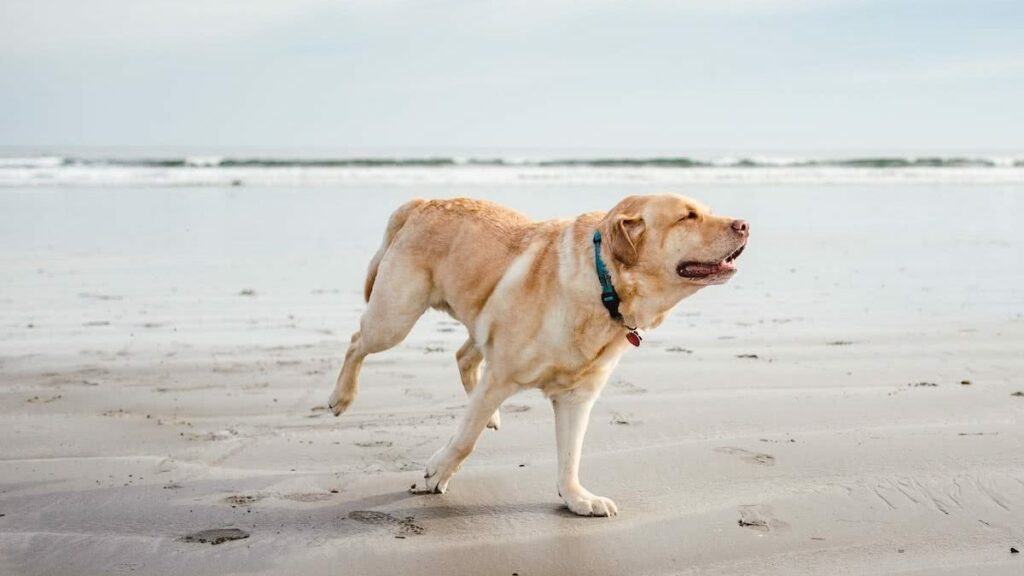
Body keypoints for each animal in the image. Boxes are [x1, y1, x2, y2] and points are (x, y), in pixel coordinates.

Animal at [331, 193, 749, 516]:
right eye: (687, 216)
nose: (744, 224)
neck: (604, 286)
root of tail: (422, 202)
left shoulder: (577, 397)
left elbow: (570, 455)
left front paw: (577, 498)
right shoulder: (501, 376)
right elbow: (465, 440)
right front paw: (437, 473)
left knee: (464, 357)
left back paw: (490, 416)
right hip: (394, 317)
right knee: (356, 341)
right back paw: (341, 397)